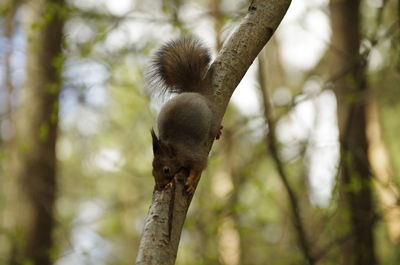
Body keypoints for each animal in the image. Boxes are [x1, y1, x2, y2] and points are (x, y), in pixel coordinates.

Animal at [148, 37, 222, 192]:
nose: (160, 186)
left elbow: (199, 166)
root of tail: (197, 94)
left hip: (212, 118)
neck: (174, 148)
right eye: (152, 168)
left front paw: (190, 182)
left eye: (166, 170)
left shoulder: (192, 153)